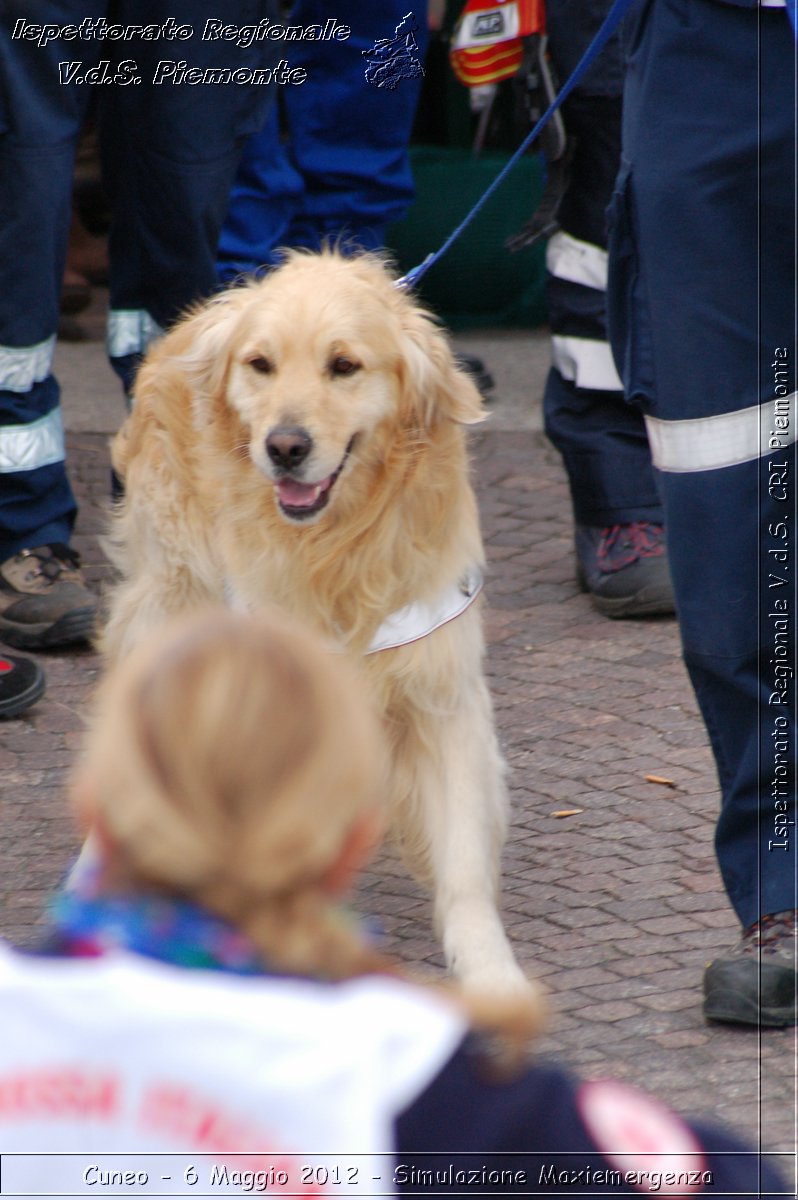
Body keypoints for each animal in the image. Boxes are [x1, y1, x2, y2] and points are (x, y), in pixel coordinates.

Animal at [104, 250, 528, 993]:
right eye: (261, 364)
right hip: (171, 599)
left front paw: (490, 975)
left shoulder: (443, 695)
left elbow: (464, 860)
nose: (285, 446)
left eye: (344, 365)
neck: (338, 550)